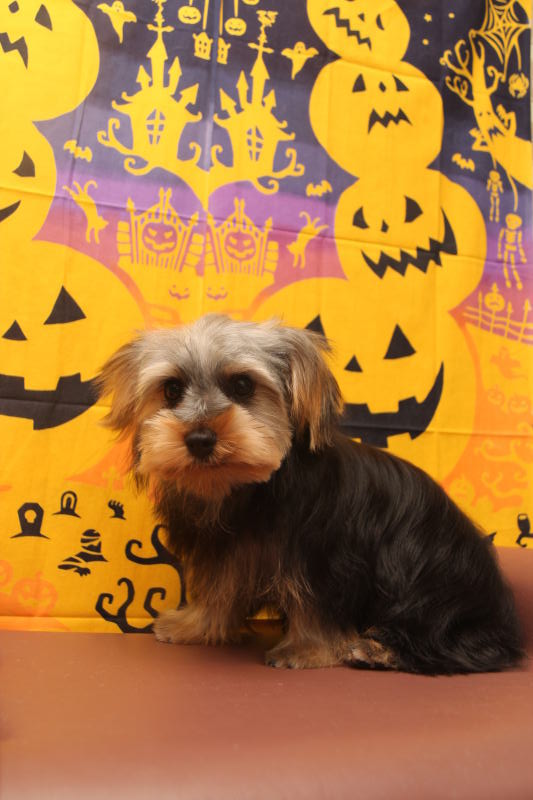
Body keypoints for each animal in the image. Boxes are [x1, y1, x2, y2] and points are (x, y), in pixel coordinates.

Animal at [96, 314, 523, 674]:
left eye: (243, 385)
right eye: (171, 390)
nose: (200, 439)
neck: (248, 491)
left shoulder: (323, 558)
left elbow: (314, 604)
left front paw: (306, 649)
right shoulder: (227, 551)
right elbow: (220, 590)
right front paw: (196, 625)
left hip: (433, 588)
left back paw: (378, 649)